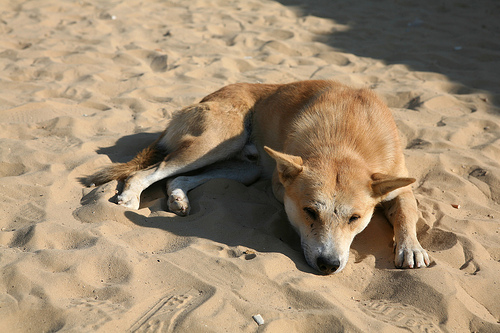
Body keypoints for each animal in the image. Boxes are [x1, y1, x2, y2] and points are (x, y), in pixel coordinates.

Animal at [87, 80, 430, 272]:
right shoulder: (279, 184)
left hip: (244, 166)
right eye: (309, 211)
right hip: (218, 142)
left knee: (177, 178)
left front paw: (410, 247)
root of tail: (202, 99)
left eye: (355, 218)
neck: (345, 140)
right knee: (150, 171)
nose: (328, 265)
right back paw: (130, 195)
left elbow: (407, 211)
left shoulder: (399, 185)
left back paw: (178, 199)